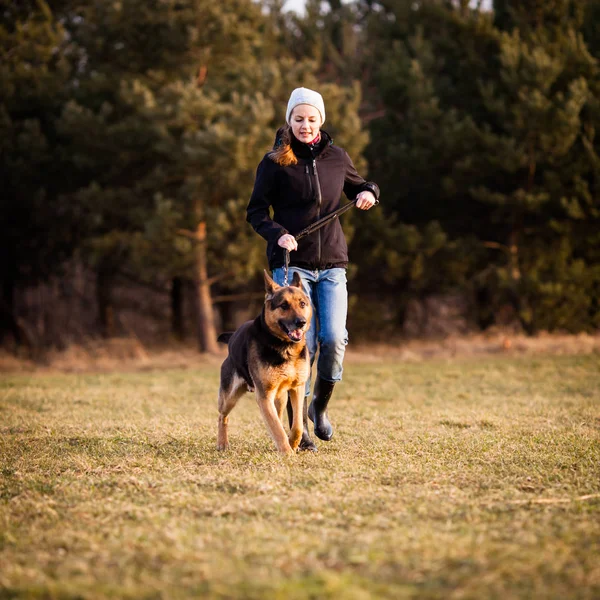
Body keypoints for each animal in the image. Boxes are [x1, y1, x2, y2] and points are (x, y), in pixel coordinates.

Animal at [216, 270, 312, 452]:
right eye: (284, 306)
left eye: (302, 304)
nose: (301, 322)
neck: (285, 347)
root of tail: (232, 338)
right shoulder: (264, 396)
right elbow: (277, 429)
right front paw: (287, 453)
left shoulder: (297, 388)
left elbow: (297, 425)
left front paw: (293, 444)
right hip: (229, 397)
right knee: (222, 416)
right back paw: (222, 443)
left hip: (280, 398)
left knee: (279, 418)